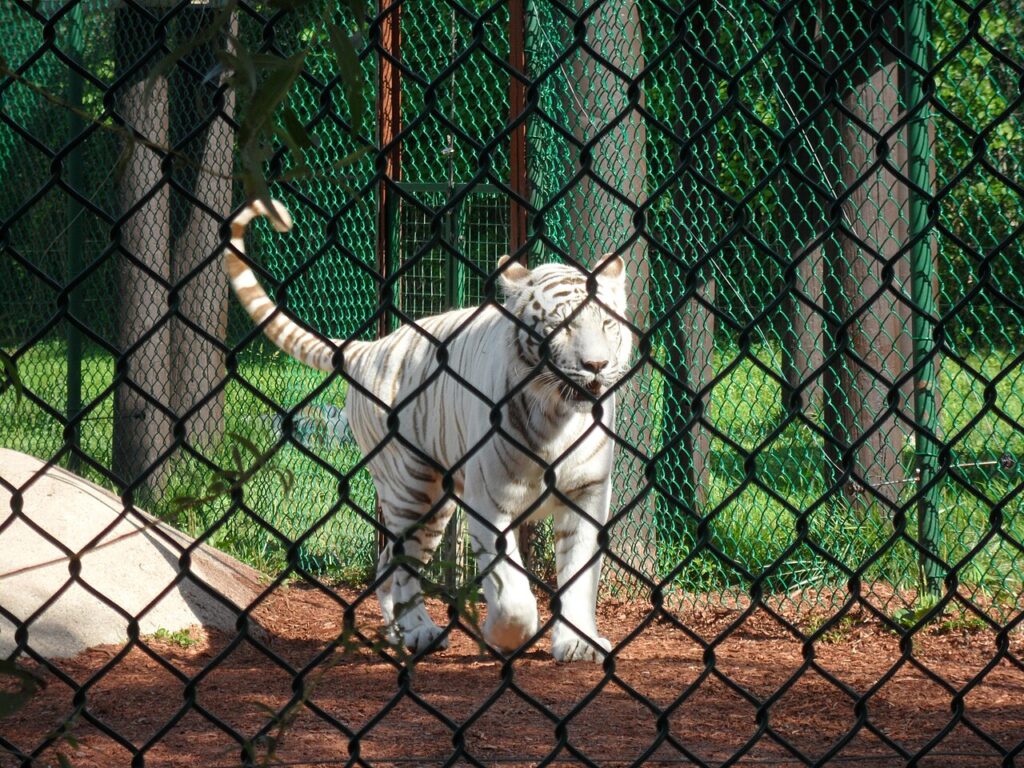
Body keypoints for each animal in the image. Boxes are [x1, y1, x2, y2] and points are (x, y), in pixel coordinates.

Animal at [225, 199, 633, 662]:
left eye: (607, 324)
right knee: (396, 565)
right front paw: (505, 634)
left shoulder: (588, 494)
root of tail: (368, 348)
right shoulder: (490, 499)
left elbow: (580, 575)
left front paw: (578, 642)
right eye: (560, 326)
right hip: (413, 489)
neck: (559, 418)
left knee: (385, 564)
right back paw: (419, 631)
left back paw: (400, 633)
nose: (596, 365)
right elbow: (511, 591)